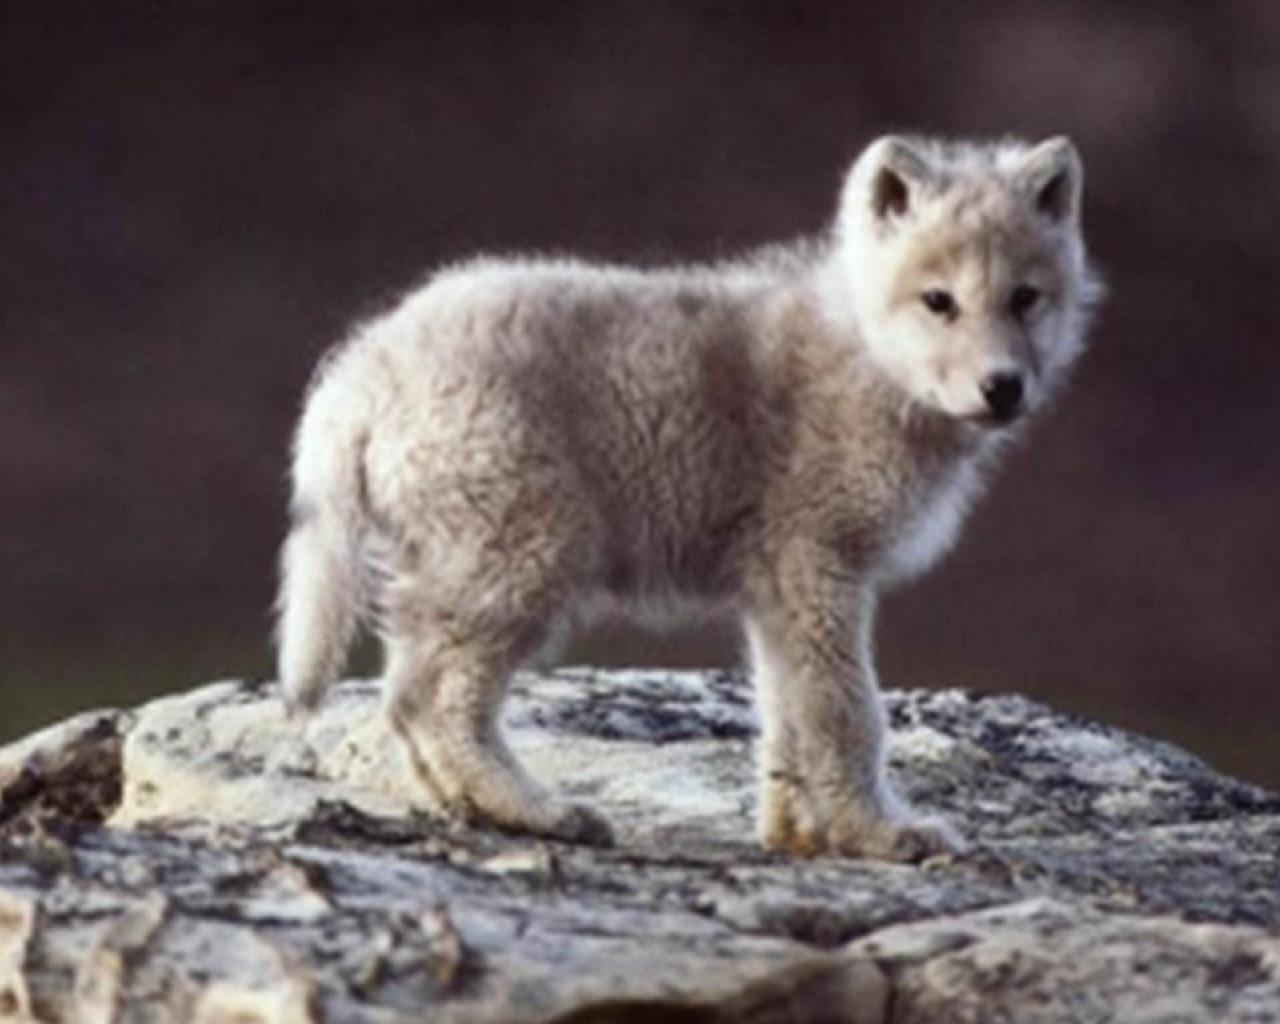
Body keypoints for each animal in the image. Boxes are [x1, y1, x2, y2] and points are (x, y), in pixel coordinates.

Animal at [275, 135, 1102, 861]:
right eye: (939, 301)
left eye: (1025, 299)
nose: (1003, 388)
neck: (866, 358)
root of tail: (365, 365)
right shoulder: (821, 568)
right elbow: (848, 714)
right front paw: (879, 834)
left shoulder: (778, 596)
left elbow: (785, 718)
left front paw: (798, 835)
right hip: (524, 559)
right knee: (437, 701)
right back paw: (539, 811)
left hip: (462, 567)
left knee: (405, 695)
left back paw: (467, 807)